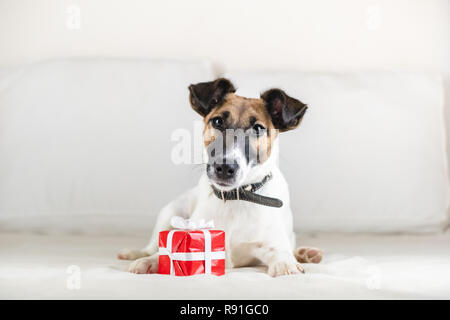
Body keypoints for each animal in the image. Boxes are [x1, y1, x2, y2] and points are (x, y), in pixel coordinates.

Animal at [118, 78, 324, 278]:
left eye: (258, 128)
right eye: (217, 121)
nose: (225, 167)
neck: (234, 198)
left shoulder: (269, 242)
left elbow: (280, 252)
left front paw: (285, 264)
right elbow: (168, 251)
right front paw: (152, 261)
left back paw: (306, 253)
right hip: (170, 212)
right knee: (153, 244)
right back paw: (136, 253)